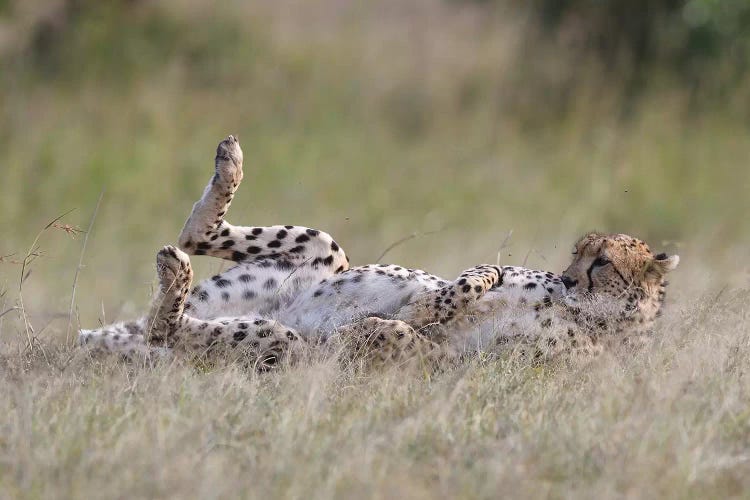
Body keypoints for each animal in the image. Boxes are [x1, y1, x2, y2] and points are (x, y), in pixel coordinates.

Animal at [78, 135, 680, 366]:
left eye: (602, 263)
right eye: (578, 253)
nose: (569, 278)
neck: (598, 320)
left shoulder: (459, 366)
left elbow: (410, 333)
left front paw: (374, 328)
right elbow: (458, 287)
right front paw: (470, 282)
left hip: (276, 342)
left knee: (172, 328)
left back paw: (173, 277)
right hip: (324, 253)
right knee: (193, 240)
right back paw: (228, 163)